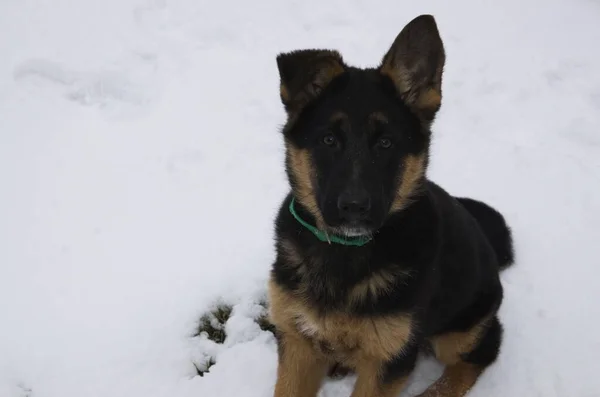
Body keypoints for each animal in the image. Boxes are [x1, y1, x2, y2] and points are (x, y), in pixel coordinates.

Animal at [268, 13, 516, 396]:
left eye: (385, 143)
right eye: (328, 140)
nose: (354, 207)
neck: (344, 253)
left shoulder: (389, 359)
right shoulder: (297, 341)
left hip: (458, 330)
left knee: (483, 350)